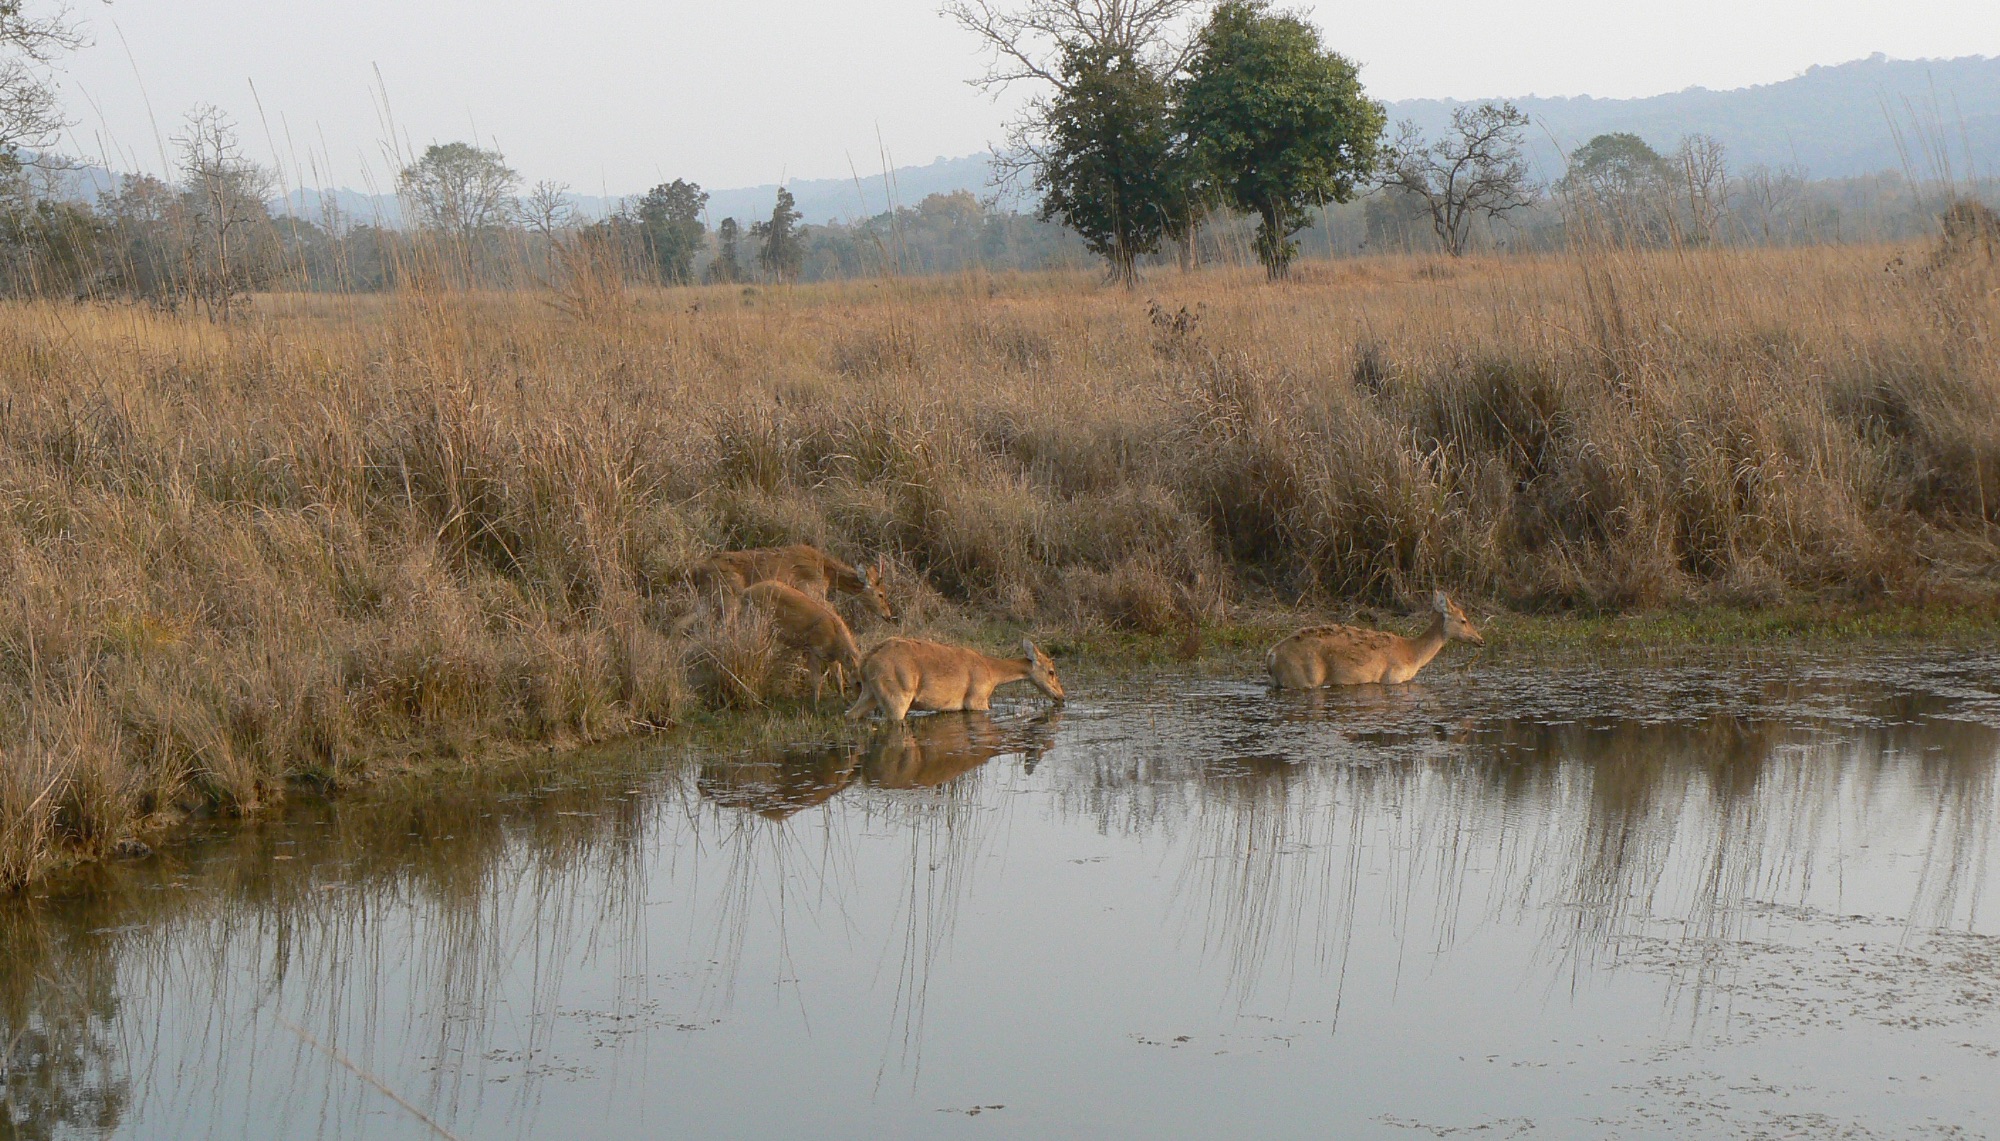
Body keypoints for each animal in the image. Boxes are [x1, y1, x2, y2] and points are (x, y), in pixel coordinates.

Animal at [844, 636, 1064, 724]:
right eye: (1051, 671)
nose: (1061, 697)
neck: (991, 672)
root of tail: (867, 661)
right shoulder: (976, 700)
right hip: (897, 698)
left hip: (869, 694)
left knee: (850, 714)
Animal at [1264, 592, 1488, 688]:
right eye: (1463, 620)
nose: (1481, 640)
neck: (1412, 655)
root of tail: (1271, 654)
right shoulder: (1393, 678)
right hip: (1303, 677)